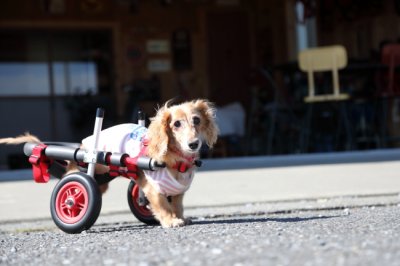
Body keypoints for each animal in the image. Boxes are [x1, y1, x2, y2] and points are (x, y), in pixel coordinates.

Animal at [0, 98, 219, 228]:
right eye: (176, 124)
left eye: (197, 120)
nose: (193, 144)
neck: (176, 160)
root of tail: (82, 145)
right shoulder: (154, 189)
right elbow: (163, 206)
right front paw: (170, 221)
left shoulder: (177, 191)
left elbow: (177, 205)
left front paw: (180, 217)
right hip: (86, 172)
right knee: (72, 182)